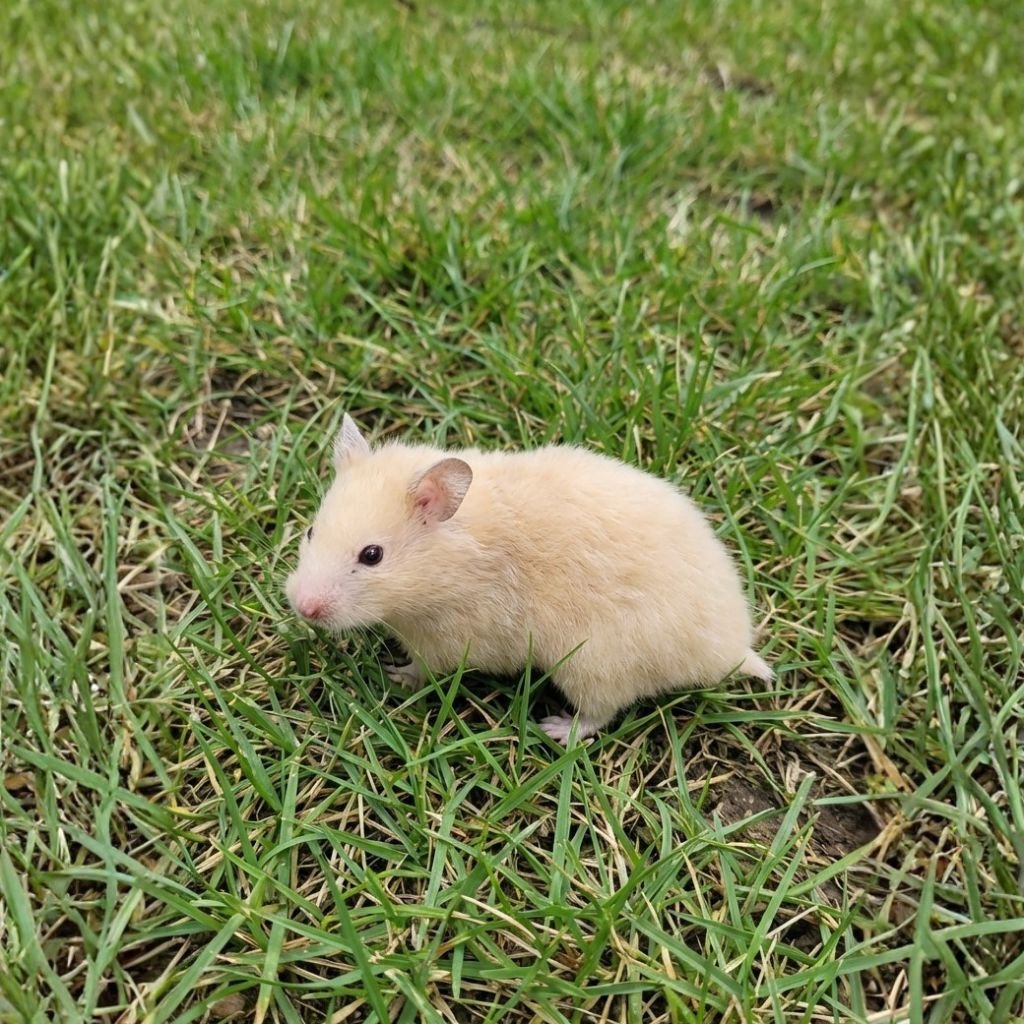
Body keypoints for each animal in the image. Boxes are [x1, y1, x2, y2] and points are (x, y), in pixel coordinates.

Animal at [286, 414, 771, 743]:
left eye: (372, 556)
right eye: (310, 532)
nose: (303, 608)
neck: (446, 565)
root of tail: (729, 649)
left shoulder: (450, 641)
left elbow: (424, 668)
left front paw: (395, 676)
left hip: (594, 664)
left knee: (602, 713)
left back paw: (556, 728)